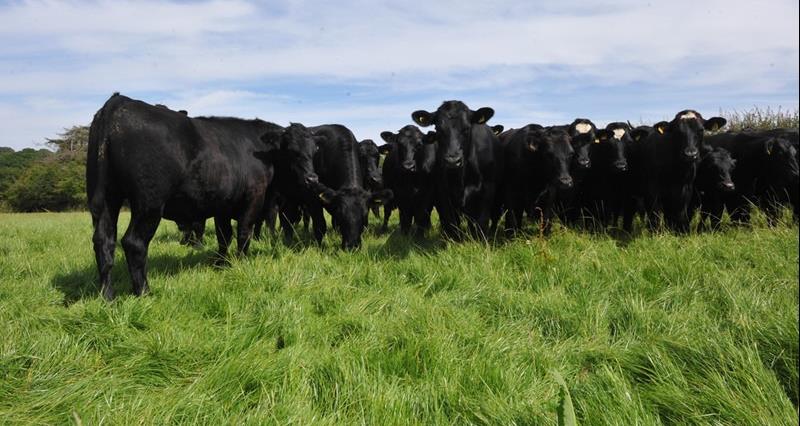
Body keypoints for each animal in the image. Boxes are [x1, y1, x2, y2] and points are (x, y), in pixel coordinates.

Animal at [87, 93, 317, 300]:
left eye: (313, 150)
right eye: (292, 151)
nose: (312, 178)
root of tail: (119, 101)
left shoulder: (224, 203)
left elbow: (224, 235)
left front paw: (222, 264)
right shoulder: (254, 197)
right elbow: (244, 233)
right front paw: (241, 262)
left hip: (107, 199)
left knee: (103, 241)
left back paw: (107, 295)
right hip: (149, 203)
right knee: (134, 243)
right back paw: (144, 292)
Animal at [411, 101, 501, 239]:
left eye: (467, 128)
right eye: (438, 129)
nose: (452, 161)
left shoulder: (488, 189)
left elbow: (482, 222)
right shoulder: (443, 193)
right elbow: (451, 224)